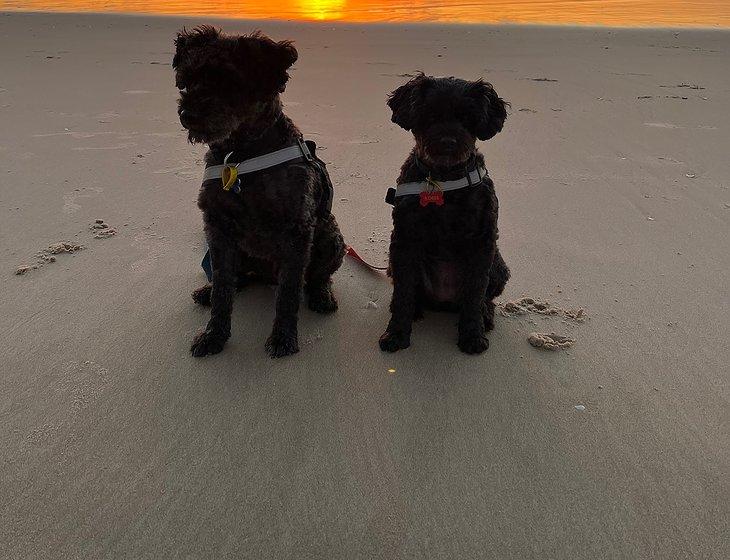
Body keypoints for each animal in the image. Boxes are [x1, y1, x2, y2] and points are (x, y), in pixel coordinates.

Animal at [173, 26, 344, 356]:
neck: (241, 157)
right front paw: (214, 335)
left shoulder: (296, 233)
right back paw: (209, 290)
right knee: (235, 278)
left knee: (317, 276)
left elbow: (288, 294)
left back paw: (321, 296)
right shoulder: (218, 229)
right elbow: (223, 289)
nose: (187, 114)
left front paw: (283, 338)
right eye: (187, 79)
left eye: (228, 79)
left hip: (330, 236)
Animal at [378, 73, 510, 354]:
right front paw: (396, 334)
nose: (448, 143)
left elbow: (475, 294)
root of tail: (444, 301)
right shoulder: (404, 242)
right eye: (429, 115)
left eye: (467, 118)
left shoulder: (483, 244)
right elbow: (403, 294)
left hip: (498, 266)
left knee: (484, 298)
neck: (442, 182)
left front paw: (472, 336)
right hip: (396, 266)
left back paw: (486, 316)